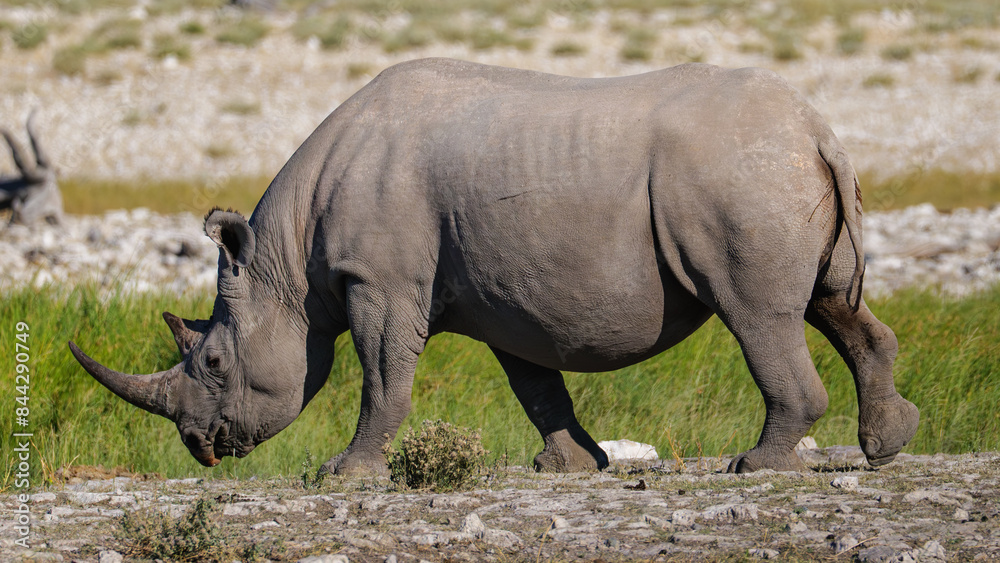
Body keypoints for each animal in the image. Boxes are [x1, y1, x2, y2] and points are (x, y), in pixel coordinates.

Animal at [70, 59, 919, 474]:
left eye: (213, 361)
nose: (198, 445)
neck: (285, 263)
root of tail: (816, 128)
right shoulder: (511, 295)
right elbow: (537, 385)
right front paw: (571, 467)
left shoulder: (378, 282)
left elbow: (382, 378)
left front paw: (344, 473)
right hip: (769, 170)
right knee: (831, 302)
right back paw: (886, 446)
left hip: (737, 175)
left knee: (758, 313)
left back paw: (757, 465)